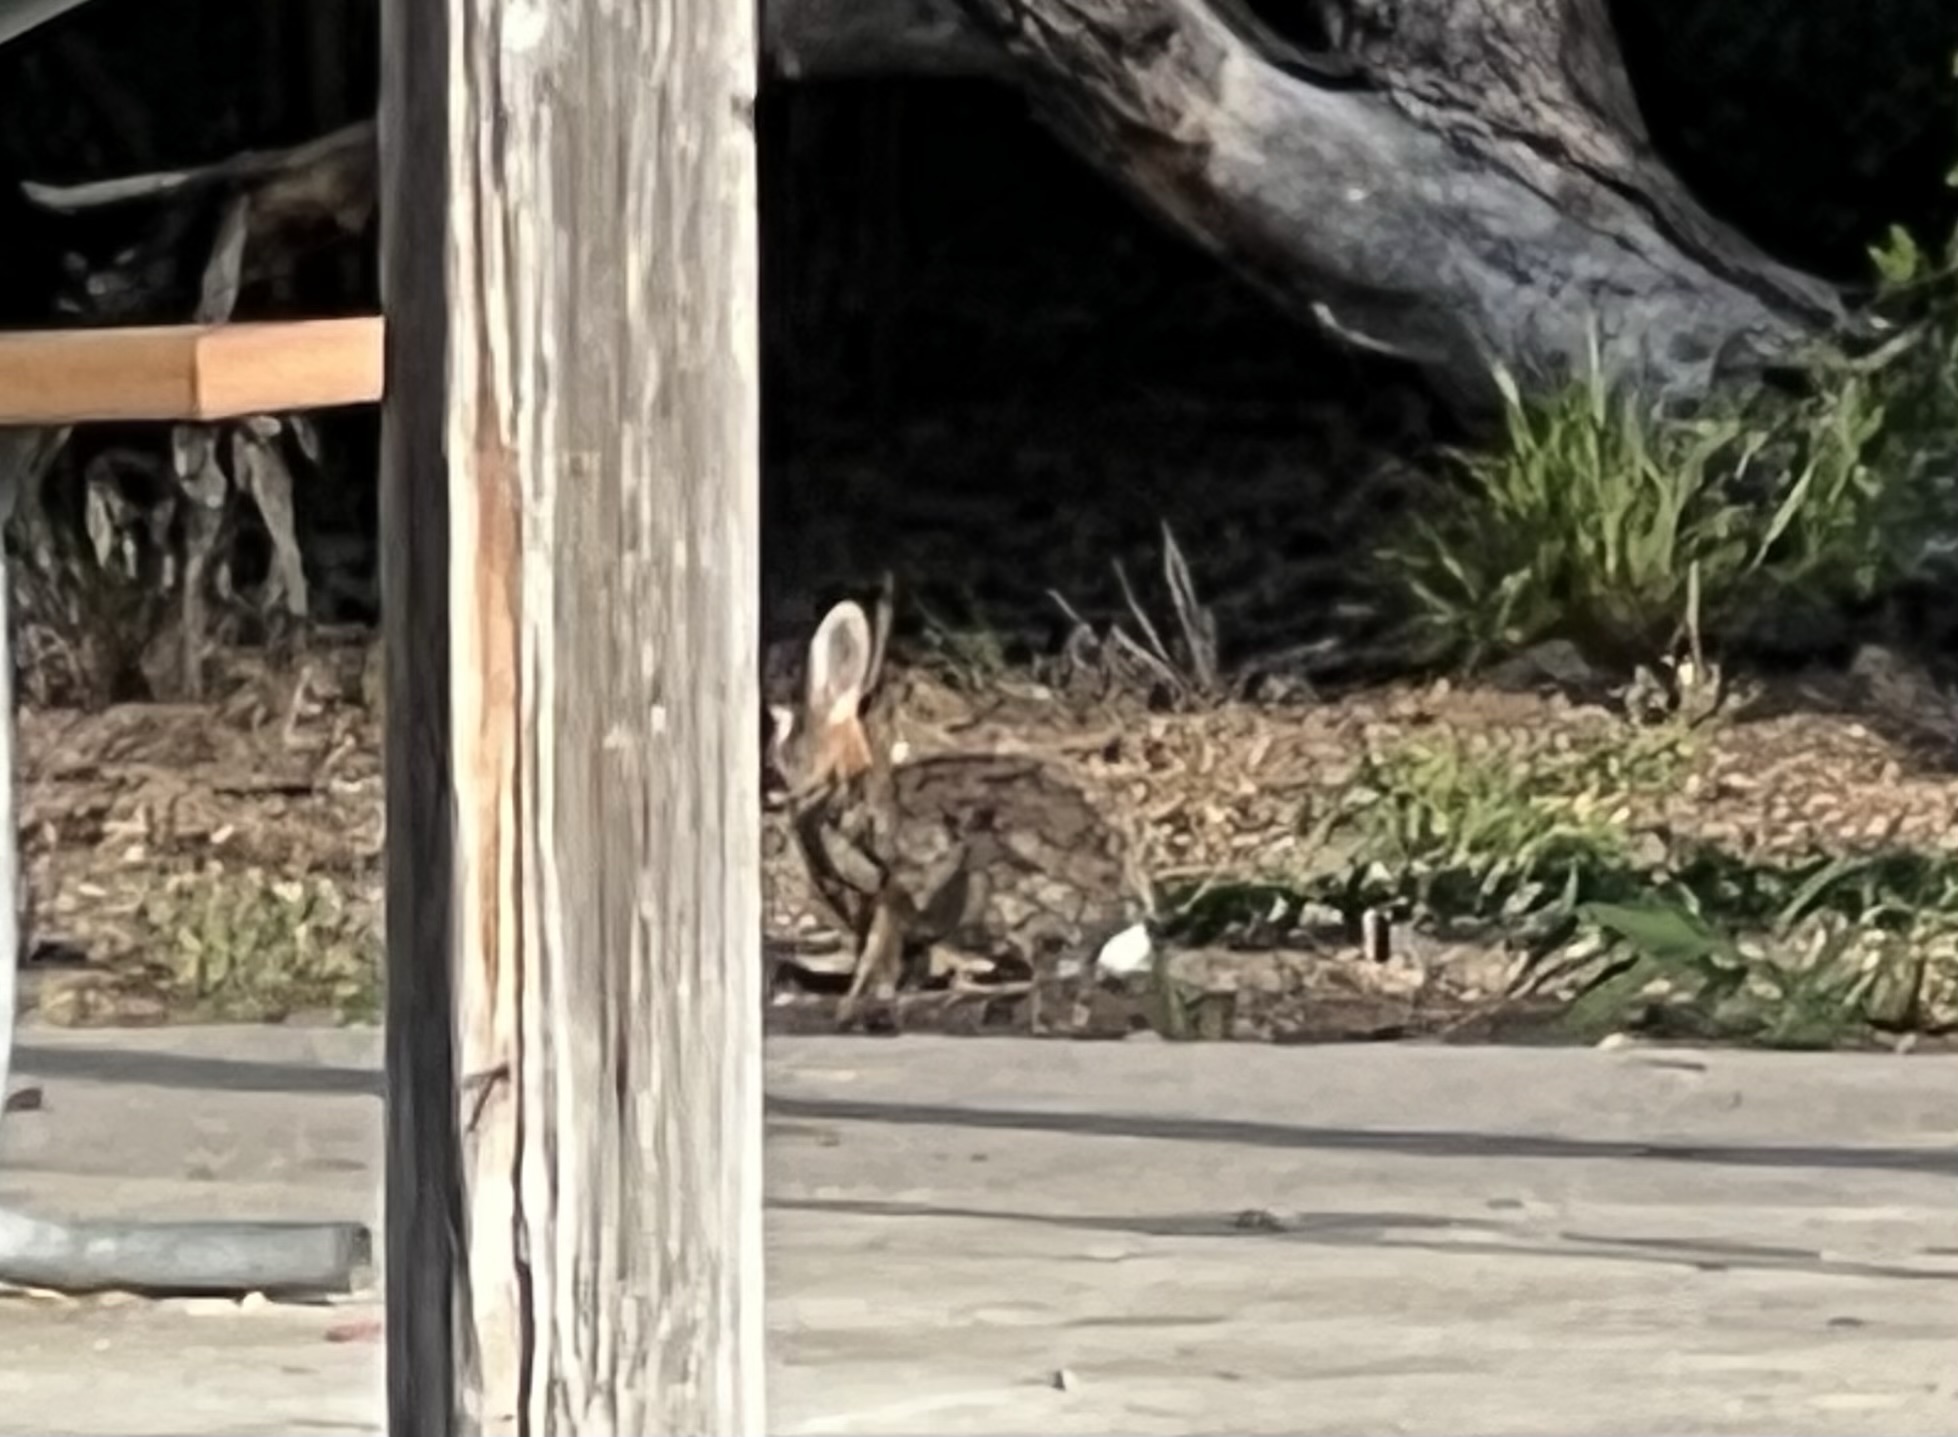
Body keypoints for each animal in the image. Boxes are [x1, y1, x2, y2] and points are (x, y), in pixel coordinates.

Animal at [768, 594, 1148, 1024]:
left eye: (784, 731)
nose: (770, 773)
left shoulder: (898, 879)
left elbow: (883, 938)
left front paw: (855, 1000)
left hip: (991, 884)